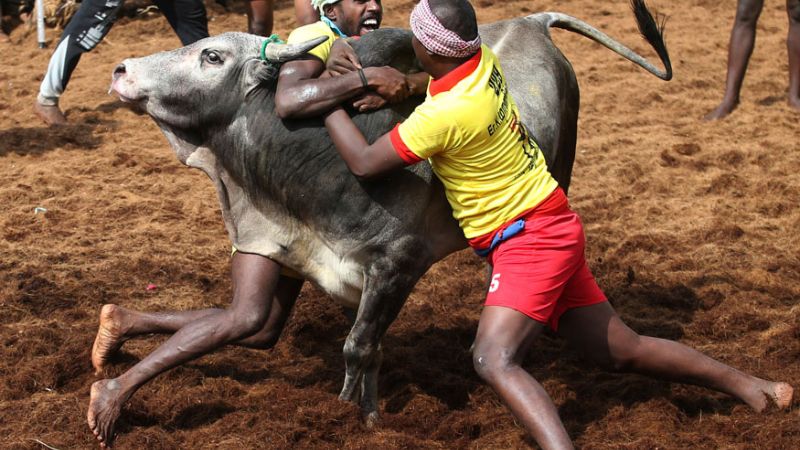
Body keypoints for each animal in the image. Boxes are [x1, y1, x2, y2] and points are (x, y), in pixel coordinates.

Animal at [109, 0, 672, 422]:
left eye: (211, 55)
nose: (121, 69)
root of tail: (534, 21)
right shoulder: (316, 260)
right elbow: (309, 334)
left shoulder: (397, 265)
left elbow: (358, 348)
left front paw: (354, 419)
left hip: (564, 167)